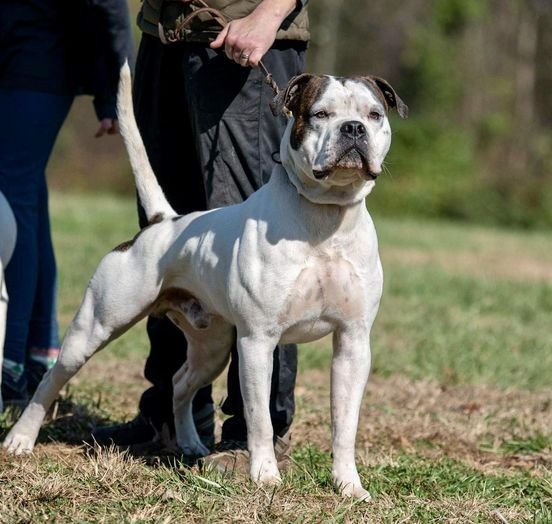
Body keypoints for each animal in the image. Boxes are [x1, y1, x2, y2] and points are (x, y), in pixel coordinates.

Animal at [2, 64, 408, 500]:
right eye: (319, 114)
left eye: (374, 115)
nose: (353, 129)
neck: (326, 218)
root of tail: (163, 222)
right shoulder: (258, 341)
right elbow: (259, 419)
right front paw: (265, 477)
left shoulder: (353, 342)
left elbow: (344, 425)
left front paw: (349, 486)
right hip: (94, 327)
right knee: (52, 378)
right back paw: (20, 439)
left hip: (211, 346)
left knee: (181, 384)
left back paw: (191, 444)